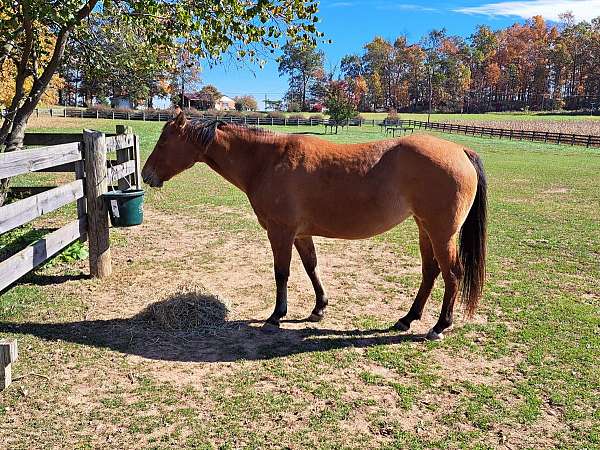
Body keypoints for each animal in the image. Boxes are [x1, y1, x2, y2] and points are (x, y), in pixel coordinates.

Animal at [142, 110, 488, 340]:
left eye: (164, 142)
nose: (146, 175)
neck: (267, 161)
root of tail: (460, 150)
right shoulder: (301, 234)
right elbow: (311, 267)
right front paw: (319, 308)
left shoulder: (280, 232)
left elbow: (282, 274)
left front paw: (276, 316)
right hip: (424, 229)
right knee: (430, 272)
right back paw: (407, 318)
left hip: (442, 234)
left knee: (452, 275)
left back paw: (439, 326)